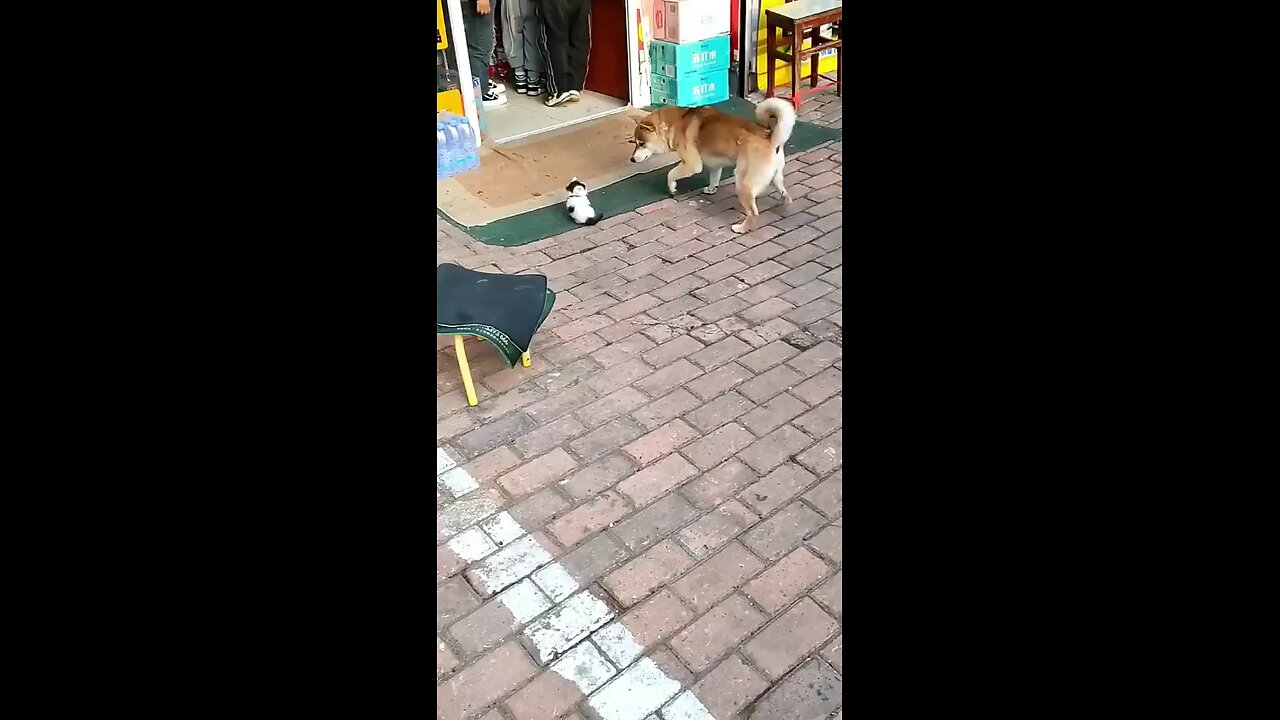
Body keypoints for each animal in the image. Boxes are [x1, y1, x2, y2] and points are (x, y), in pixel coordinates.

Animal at [627, 96, 793, 233]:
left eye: (641, 144)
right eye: (633, 143)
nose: (632, 160)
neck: (675, 123)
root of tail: (770, 137)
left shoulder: (692, 164)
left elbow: (670, 174)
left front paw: (672, 188)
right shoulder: (715, 164)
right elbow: (714, 177)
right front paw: (712, 189)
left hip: (743, 183)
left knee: (753, 212)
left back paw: (742, 228)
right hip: (776, 177)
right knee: (785, 194)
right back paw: (786, 208)